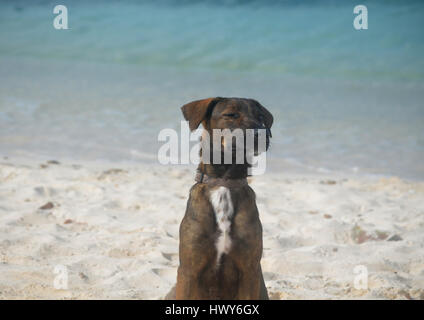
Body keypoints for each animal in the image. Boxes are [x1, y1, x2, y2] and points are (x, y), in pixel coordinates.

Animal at [167, 97, 274, 300]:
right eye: (231, 114)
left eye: (260, 117)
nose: (262, 134)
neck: (224, 181)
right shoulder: (189, 270)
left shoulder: (249, 271)